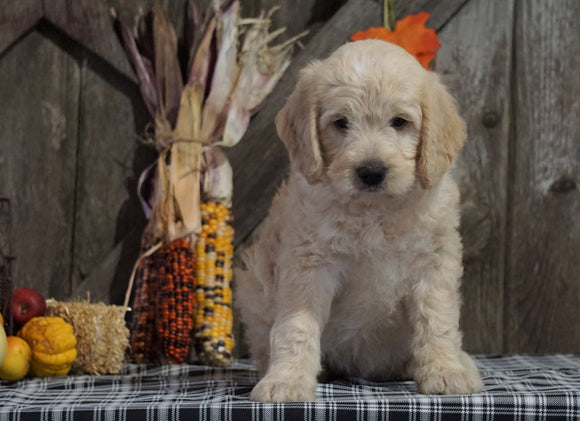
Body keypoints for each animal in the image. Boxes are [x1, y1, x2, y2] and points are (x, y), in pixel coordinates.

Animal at [236, 39, 484, 400]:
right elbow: (297, 325)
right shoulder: (309, 263)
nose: (371, 171)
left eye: (399, 122)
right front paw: (287, 380)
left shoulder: (433, 262)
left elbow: (437, 319)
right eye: (341, 123)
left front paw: (445, 370)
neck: (373, 211)